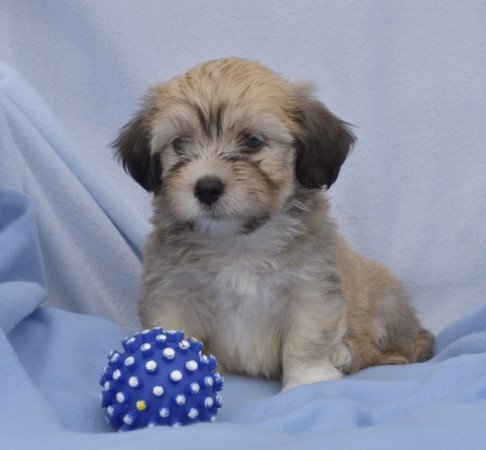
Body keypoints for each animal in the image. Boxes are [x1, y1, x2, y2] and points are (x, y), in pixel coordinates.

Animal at [115, 58, 436, 390]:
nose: (206, 188)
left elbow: (306, 341)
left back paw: (346, 353)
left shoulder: (311, 291)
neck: (237, 242)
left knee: (393, 351)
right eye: (179, 144)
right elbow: (170, 331)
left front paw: (308, 380)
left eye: (253, 142)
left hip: (385, 302)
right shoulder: (173, 292)